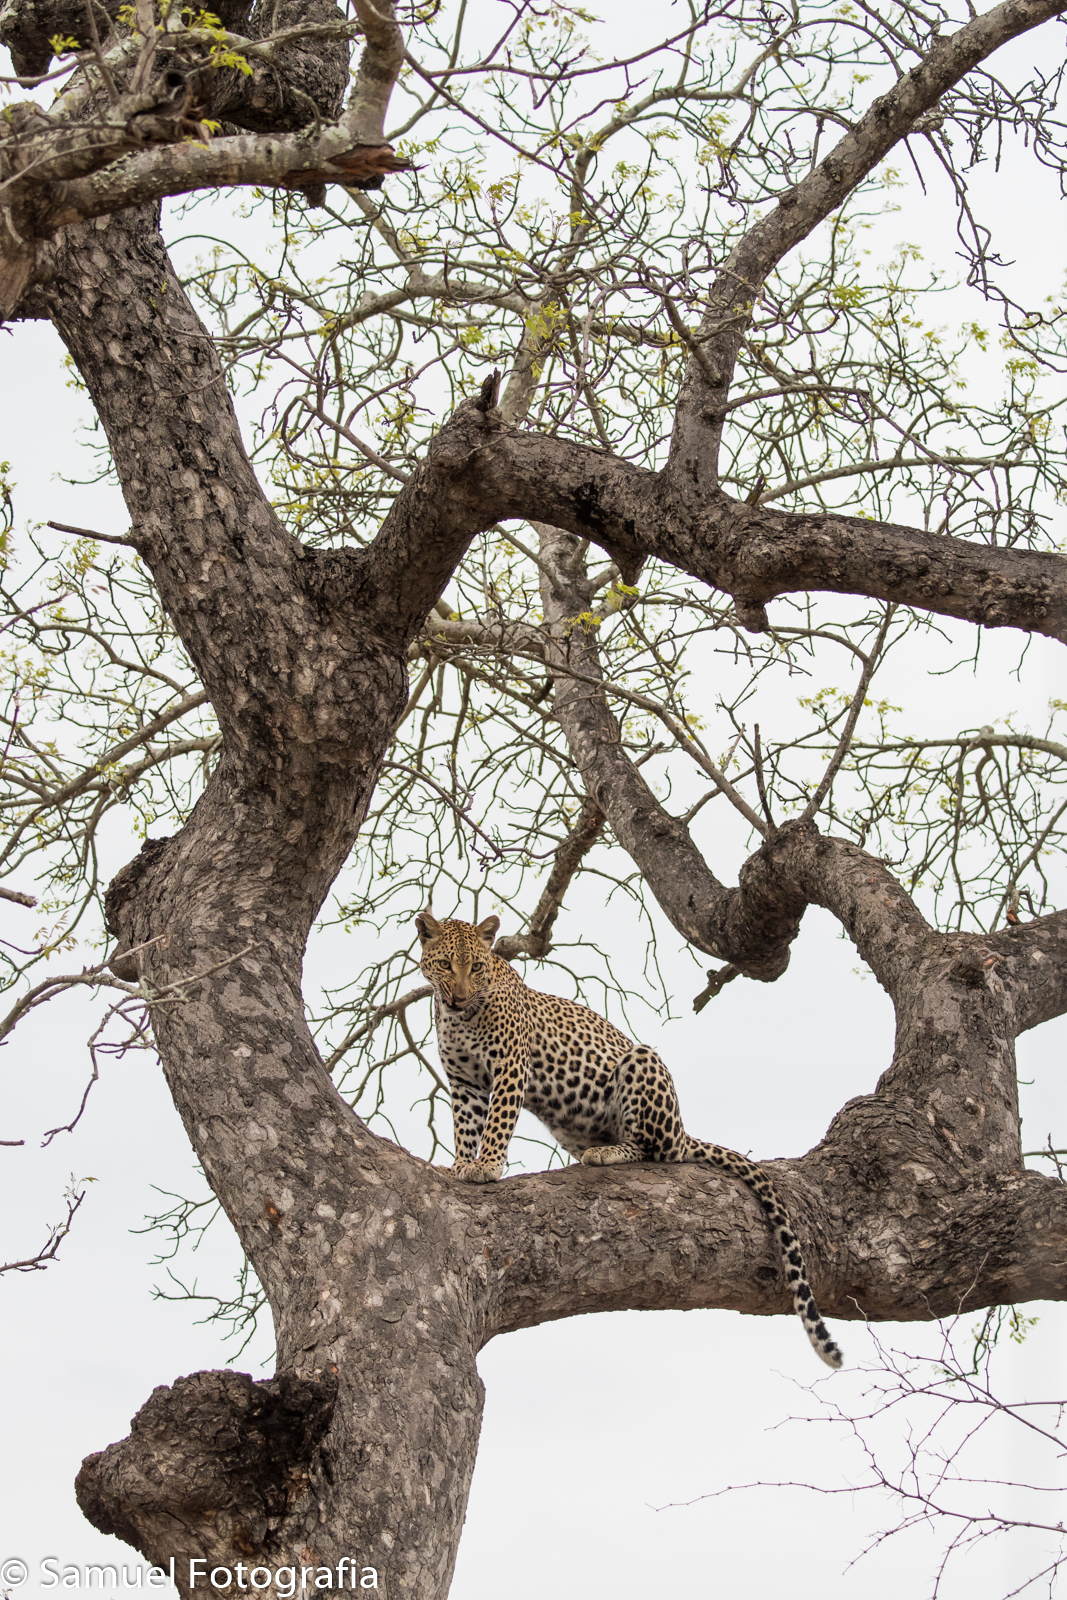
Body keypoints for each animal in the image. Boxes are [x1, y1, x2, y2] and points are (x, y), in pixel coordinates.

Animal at [415, 906, 843, 1369]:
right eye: (446, 965)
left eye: (476, 967)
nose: (459, 997)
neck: (458, 1018)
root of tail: (682, 1129)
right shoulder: (464, 1082)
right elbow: (465, 1125)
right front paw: (462, 1163)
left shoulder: (511, 1065)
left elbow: (497, 1121)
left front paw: (487, 1166)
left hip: (642, 1062)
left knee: (653, 1149)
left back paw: (608, 1152)